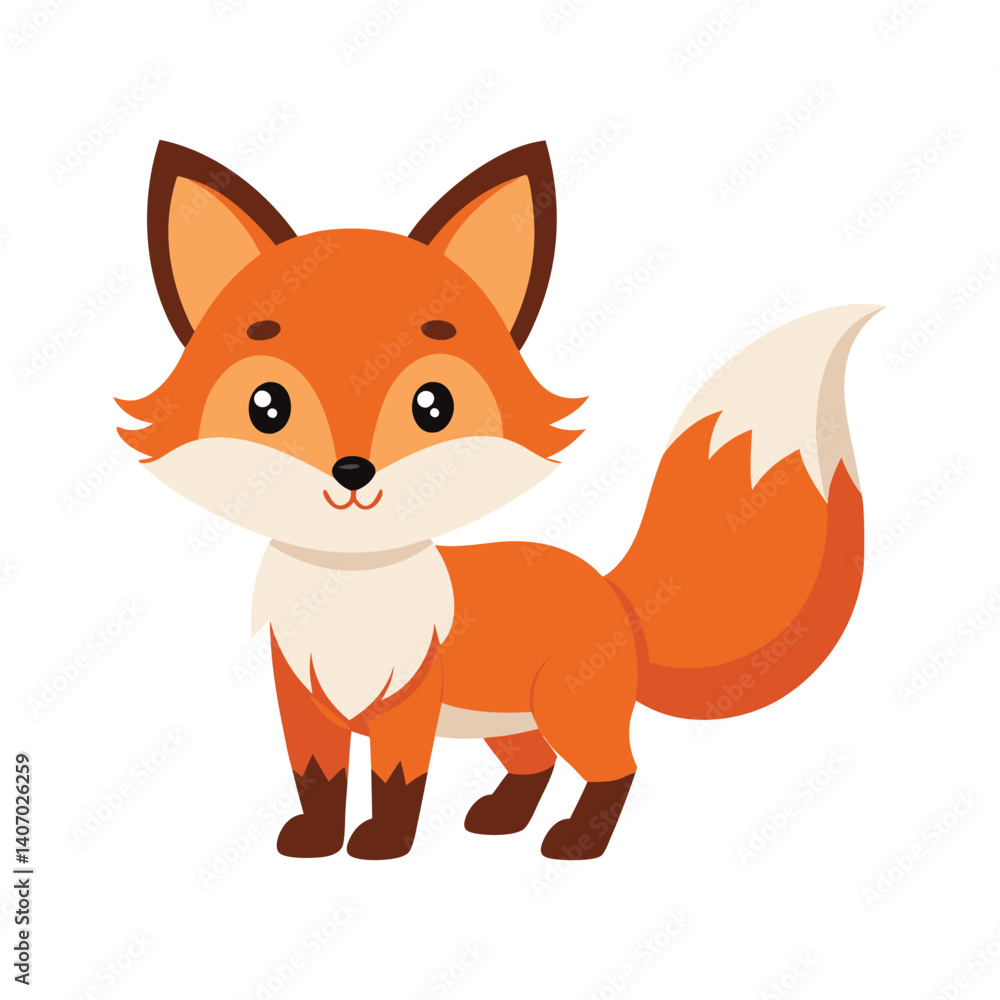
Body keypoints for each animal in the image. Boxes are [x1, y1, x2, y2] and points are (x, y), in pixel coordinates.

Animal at [118, 139, 880, 860]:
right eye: (267, 406)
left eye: (433, 406)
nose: (354, 471)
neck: (350, 592)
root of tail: (615, 595)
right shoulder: (305, 701)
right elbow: (318, 779)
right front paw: (316, 840)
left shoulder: (410, 703)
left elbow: (396, 782)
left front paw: (382, 845)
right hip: (513, 721)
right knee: (535, 763)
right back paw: (502, 818)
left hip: (570, 709)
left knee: (618, 768)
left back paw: (577, 843)